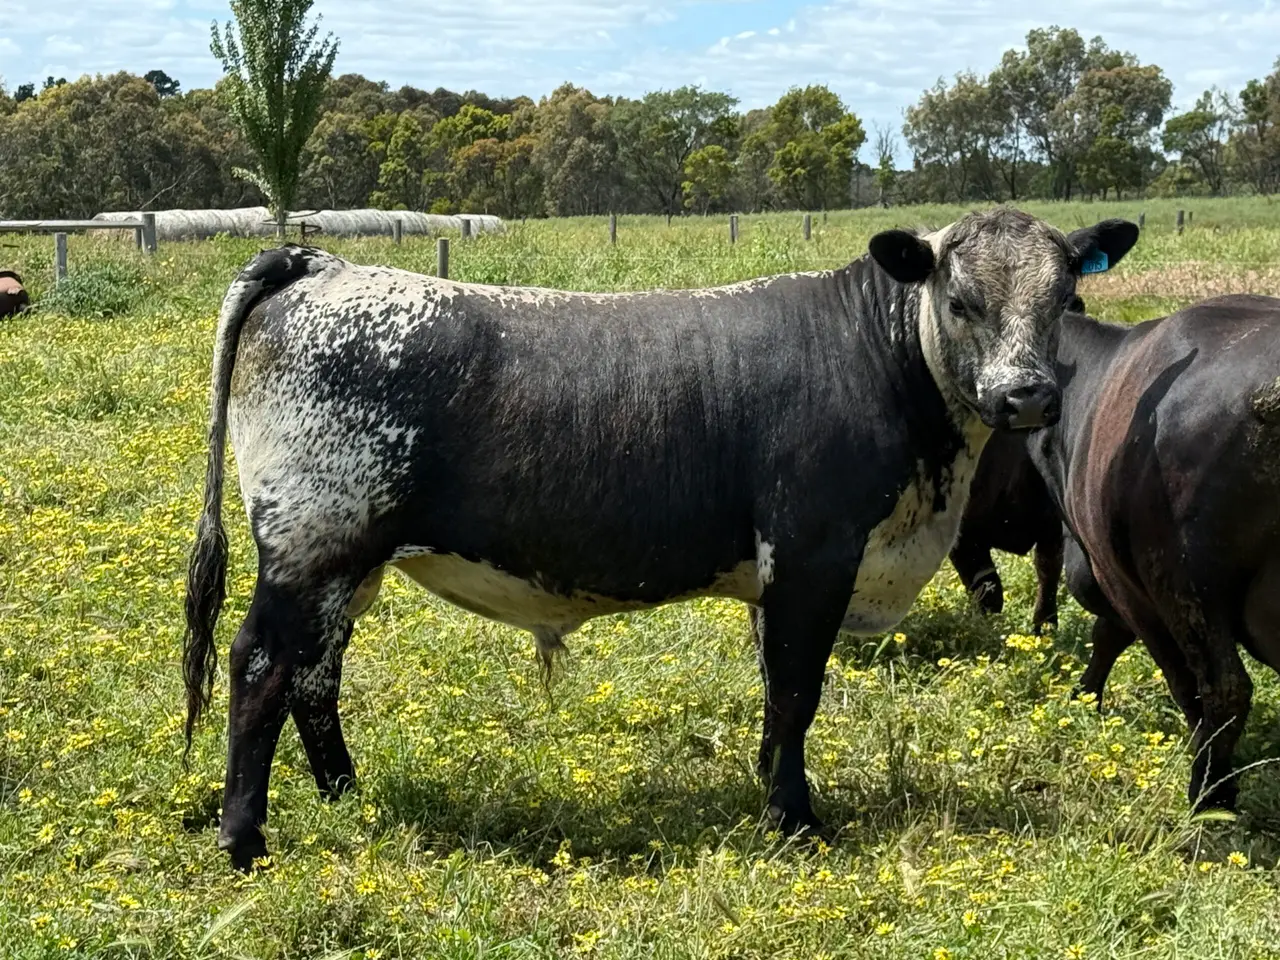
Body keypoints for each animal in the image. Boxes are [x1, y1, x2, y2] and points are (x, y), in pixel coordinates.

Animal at [180, 208, 1138, 870]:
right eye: (961, 300)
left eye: (1065, 300)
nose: (1027, 396)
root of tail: (322, 262)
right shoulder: (813, 556)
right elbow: (798, 692)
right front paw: (796, 821)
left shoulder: (784, 575)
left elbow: (777, 693)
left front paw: (772, 794)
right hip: (313, 543)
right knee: (262, 668)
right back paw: (246, 840)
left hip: (349, 561)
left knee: (315, 675)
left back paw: (348, 797)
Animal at [952, 293, 1280, 814]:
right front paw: (1084, 696)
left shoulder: (1121, 577)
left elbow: (1170, 672)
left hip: (1185, 586)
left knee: (1225, 687)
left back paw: (1208, 795)